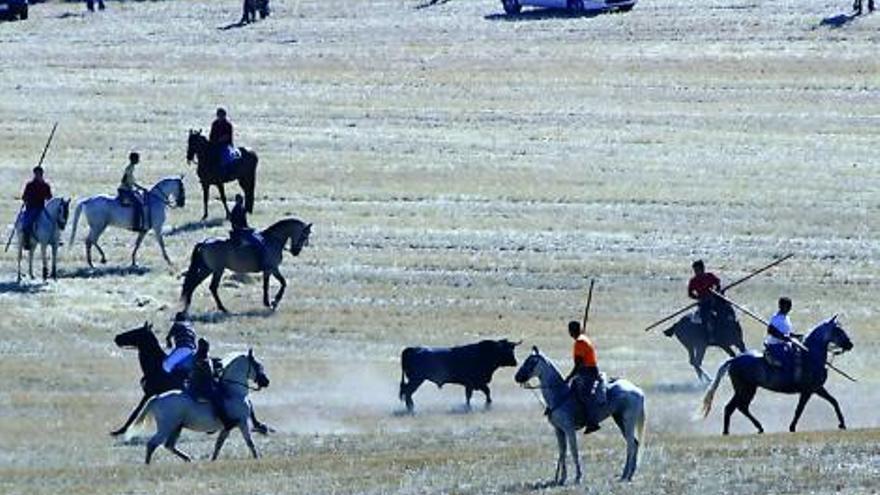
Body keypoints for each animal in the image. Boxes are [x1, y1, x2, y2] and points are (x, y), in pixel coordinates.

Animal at [113, 324, 272, 436]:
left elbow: (135, 411)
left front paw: (120, 430)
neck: (157, 367)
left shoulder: (149, 394)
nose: (117, 337)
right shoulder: (151, 394)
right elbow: (137, 411)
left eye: (136, 331)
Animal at [180, 218, 312, 312]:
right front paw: (273, 302)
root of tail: (205, 242)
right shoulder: (272, 269)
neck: (273, 240)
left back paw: (187, 306)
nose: (295, 252)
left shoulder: (269, 270)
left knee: (193, 284)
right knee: (212, 287)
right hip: (217, 270)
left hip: (207, 270)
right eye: (304, 235)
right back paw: (222, 308)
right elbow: (281, 283)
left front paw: (269, 302)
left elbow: (270, 285)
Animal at [516, 348, 648, 484]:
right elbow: (562, 452)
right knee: (634, 444)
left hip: (628, 422)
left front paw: (578, 477)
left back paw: (625, 474)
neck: (560, 395)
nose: (517, 377)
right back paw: (629, 474)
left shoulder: (569, 429)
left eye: (532, 362)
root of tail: (637, 390)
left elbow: (574, 451)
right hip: (620, 421)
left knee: (630, 445)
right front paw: (561, 478)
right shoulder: (558, 430)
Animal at [700, 318, 852, 434]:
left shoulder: (818, 388)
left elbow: (834, 401)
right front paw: (792, 427)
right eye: (838, 330)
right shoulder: (809, 390)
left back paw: (755, 428)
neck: (811, 355)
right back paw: (730, 431)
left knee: (738, 407)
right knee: (734, 407)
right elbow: (799, 409)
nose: (850, 344)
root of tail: (734, 360)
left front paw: (842, 424)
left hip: (747, 389)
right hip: (745, 389)